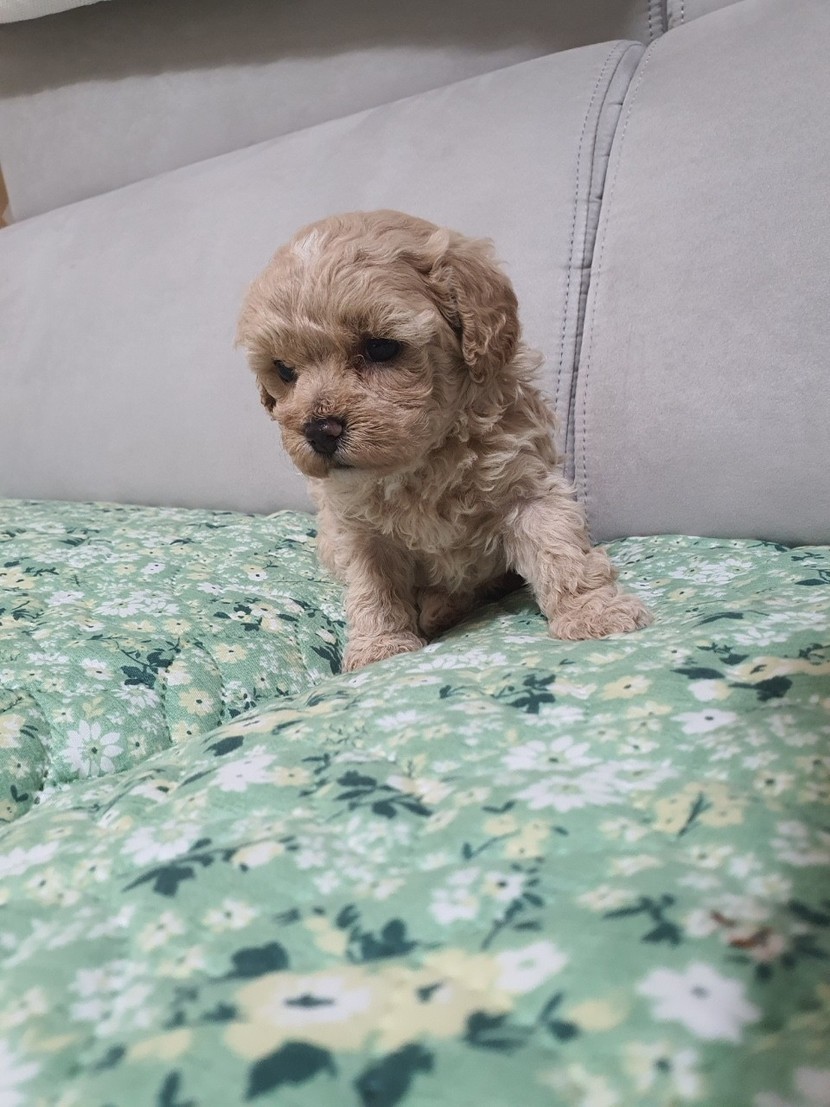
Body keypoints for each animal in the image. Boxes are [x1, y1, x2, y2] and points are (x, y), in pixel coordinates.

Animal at [237, 210, 652, 670]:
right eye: (284, 369)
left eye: (381, 348)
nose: (318, 431)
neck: (424, 458)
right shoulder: (357, 527)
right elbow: (372, 586)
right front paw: (380, 646)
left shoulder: (526, 483)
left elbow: (558, 546)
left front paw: (592, 612)